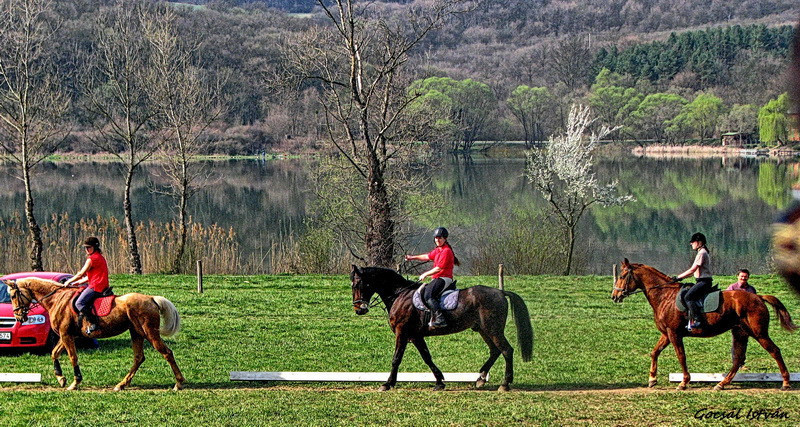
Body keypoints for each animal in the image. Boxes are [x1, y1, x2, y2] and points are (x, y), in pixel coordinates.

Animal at [6, 278, 184, 392]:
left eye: (13, 296)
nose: (19, 317)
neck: (57, 299)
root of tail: (151, 298)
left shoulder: (66, 335)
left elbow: (73, 357)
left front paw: (75, 382)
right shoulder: (67, 335)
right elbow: (54, 353)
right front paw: (60, 378)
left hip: (149, 332)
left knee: (167, 353)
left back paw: (179, 383)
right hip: (136, 333)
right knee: (139, 357)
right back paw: (121, 384)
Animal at [348, 266, 532, 392]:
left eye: (357, 284)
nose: (359, 309)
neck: (399, 295)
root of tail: (501, 292)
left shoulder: (402, 332)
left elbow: (396, 358)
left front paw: (387, 383)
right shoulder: (416, 336)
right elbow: (427, 358)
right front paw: (439, 382)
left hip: (493, 329)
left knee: (506, 350)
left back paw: (505, 384)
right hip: (483, 330)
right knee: (495, 351)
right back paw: (480, 378)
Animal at [612, 260, 792, 392]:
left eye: (622, 275)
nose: (614, 296)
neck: (665, 296)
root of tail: (758, 297)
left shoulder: (674, 333)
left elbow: (681, 356)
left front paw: (683, 383)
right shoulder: (667, 333)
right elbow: (655, 352)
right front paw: (652, 379)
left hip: (759, 333)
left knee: (775, 351)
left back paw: (785, 383)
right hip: (740, 333)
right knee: (738, 359)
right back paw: (721, 384)